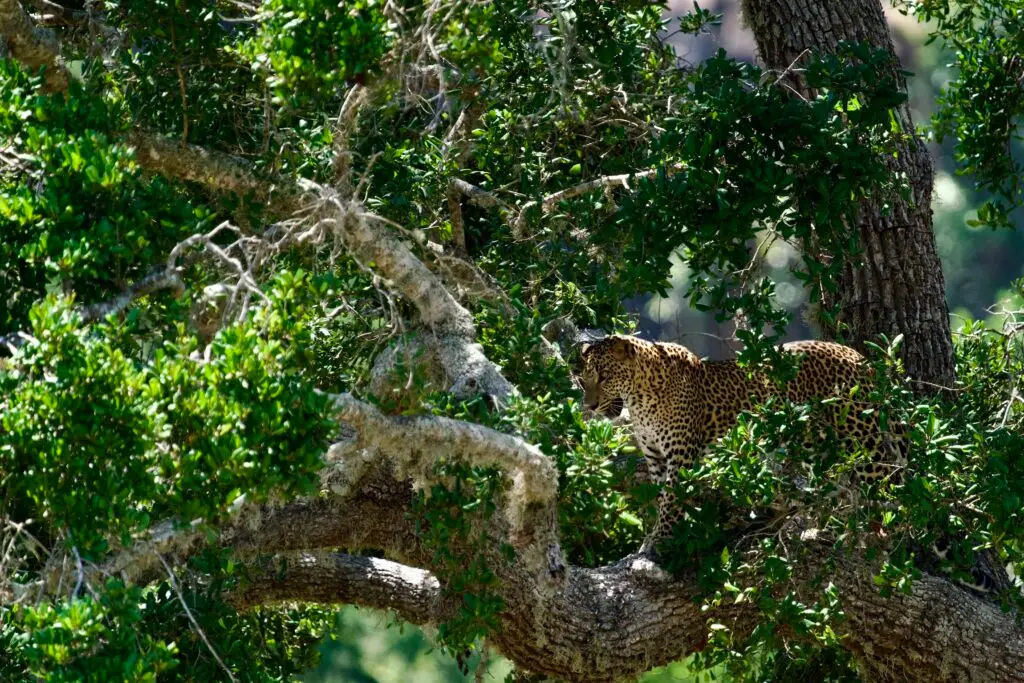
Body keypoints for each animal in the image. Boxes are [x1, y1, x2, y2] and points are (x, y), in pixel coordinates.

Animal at [578, 334, 905, 554]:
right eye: (583, 380)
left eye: (604, 377)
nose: (589, 406)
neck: (639, 400)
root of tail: (857, 355)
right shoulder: (656, 457)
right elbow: (662, 498)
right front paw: (670, 535)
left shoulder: (680, 455)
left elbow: (672, 500)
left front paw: (660, 540)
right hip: (818, 443)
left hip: (864, 438)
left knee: (886, 486)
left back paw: (885, 541)